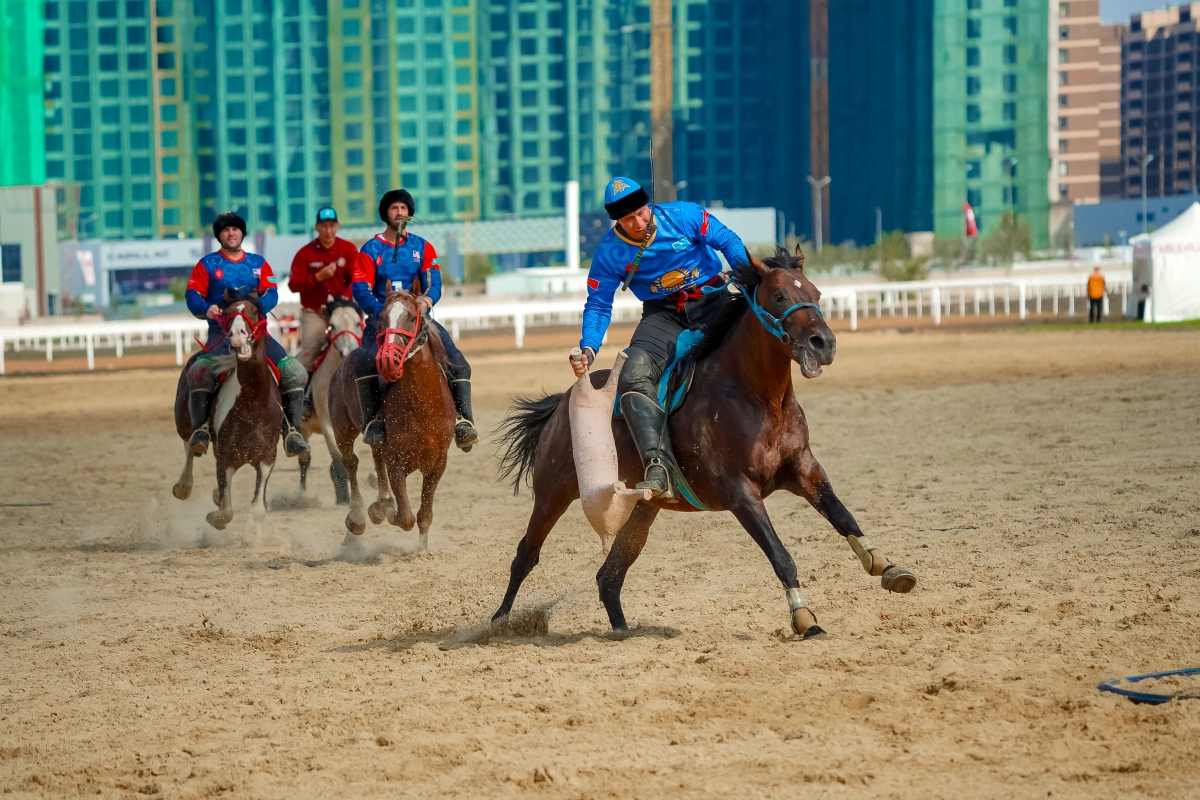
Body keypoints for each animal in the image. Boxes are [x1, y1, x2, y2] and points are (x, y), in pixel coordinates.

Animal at [171, 289, 283, 532]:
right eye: (227, 313)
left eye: (254, 311)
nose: (238, 336)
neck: (252, 406)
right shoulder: (224, 458)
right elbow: (226, 512)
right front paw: (214, 518)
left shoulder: (267, 458)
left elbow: (258, 509)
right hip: (184, 421)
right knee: (189, 446)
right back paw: (183, 486)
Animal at [296, 297, 362, 503]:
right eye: (332, 325)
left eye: (358, 323)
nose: (348, 351)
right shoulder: (328, 424)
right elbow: (339, 459)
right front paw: (344, 496)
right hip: (303, 429)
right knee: (304, 460)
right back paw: (301, 494)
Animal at [324, 287, 453, 551]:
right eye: (382, 318)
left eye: (412, 318)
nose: (387, 361)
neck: (423, 407)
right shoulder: (396, 462)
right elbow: (405, 517)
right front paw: (382, 511)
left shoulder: (438, 464)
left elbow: (424, 515)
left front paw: (422, 551)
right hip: (343, 430)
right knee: (351, 463)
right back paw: (359, 518)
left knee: (374, 457)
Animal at [496, 250, 916, 638]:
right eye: (779, 295)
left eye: (815, 292)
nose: (823, 343)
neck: (757, 398)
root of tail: (562, 402)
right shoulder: (740, 493)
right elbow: (780, 555)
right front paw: (803, 617)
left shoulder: (805, 471)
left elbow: (844, 517)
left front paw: (888, 567)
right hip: (554, 491)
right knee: (526, 554)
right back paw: (498, 623)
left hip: (641, 509)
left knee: (609, 576)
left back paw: (622, 632)